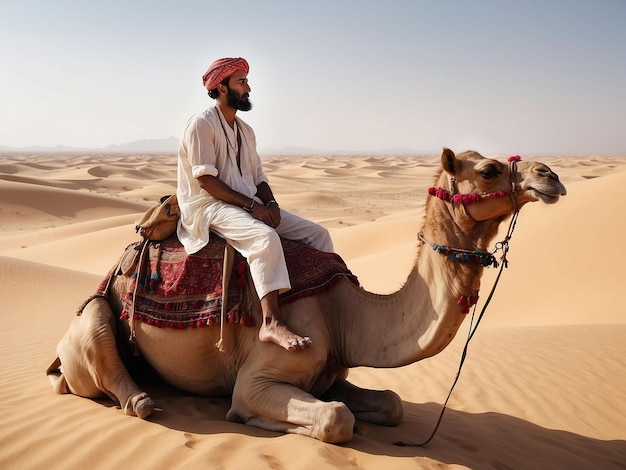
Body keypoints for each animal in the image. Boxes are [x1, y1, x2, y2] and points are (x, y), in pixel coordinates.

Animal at [47, 149, 564, 442]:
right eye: (490, 170)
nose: (549, 175)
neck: (345, 314)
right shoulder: (257, 379)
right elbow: (336, 419)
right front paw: (253, 421)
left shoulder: (332, 372)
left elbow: (392, 403)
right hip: (92, 320)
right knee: (105, 354)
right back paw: (141, 399)